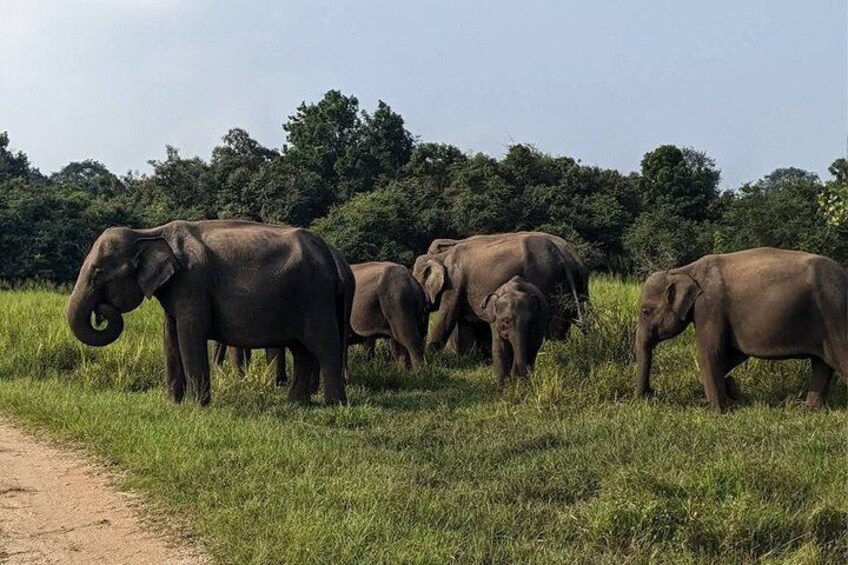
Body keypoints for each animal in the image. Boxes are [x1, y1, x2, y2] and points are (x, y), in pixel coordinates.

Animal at [67, 220, 352, 405]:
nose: (101, 312)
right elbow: (170, 335)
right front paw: (172, 403)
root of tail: (329, 255)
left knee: (324, 344)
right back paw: (296, 403)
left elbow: (190, 333)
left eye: (97, 273)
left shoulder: (192, 282)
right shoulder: (175, 287)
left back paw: (333, 404)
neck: (150, 232)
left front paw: (196, 406)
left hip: (315, 296)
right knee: (302, 350)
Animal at [413, 231, 588, 353]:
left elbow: (446, 317)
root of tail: (562, 255)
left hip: (544, 279)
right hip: (577, 282)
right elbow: (467, 323)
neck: (442, 256)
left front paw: (432, 357)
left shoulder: (454, 283)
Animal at [635, 247, 848, 412]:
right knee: (822, 364)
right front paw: (731, 389)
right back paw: (808, 409)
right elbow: (736, 354)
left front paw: (720, 411)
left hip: (835, 313)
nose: (652, 393)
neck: (684, 270)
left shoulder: (709, 307)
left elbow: (711, 353)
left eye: (645, 311)